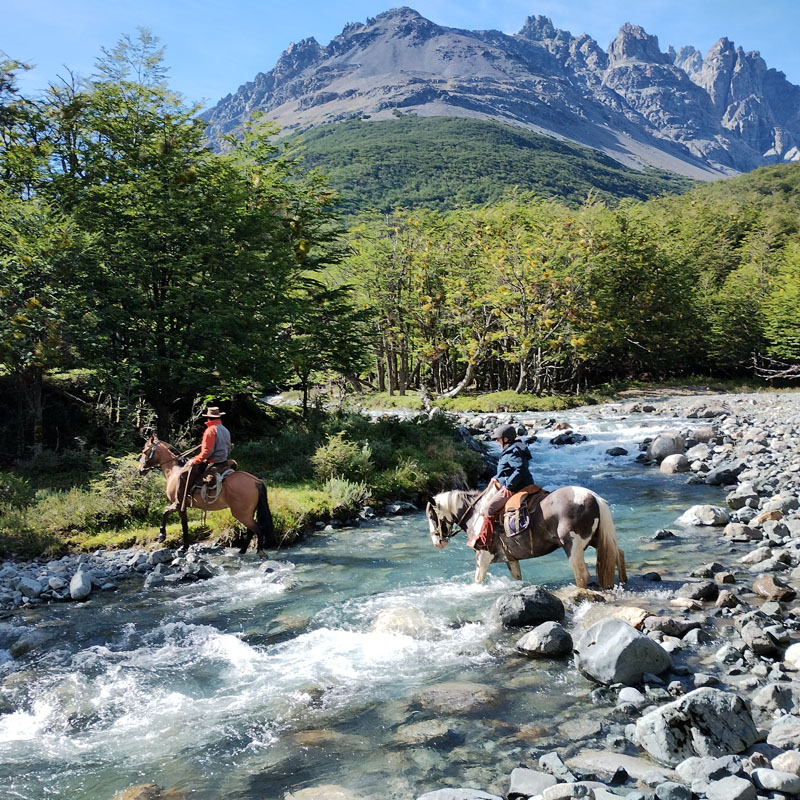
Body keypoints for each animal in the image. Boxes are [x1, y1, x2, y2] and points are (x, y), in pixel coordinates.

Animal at [136, 438, 276, 556]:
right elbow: (184, 525)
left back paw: (259, 551)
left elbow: (167, 514)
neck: (174, 471)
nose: (140, 470)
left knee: (258, 529)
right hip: (247, 514)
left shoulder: (178, 504)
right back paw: (242, 550)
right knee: (251, 530)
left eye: (144, 451)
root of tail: (255, 481)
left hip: (242, 514)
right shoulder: (183, 507)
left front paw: (163, 536)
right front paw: (184, 546)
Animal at [428, 484, 628, 592]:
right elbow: (517, 577)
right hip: (596, 538)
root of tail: (593, 496)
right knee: (618, 553)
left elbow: (478, 580)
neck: (476, 515)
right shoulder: (510, 559)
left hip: (573, 546)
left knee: (581, 574)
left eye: (431, 515)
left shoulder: (483, 555)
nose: (437, 543)